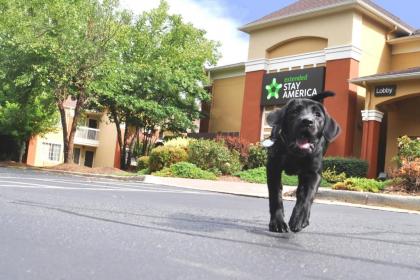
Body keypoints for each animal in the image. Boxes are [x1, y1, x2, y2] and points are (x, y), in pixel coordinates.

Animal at [266, 91, 342, 232]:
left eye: (317, 115)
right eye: (295, 111)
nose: (307, 121)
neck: (296, 155)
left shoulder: (314, 174)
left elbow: (307, 196)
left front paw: (300, 218)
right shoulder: (273, 168)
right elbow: (275, 196)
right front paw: (277, 222)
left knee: (301, 193)